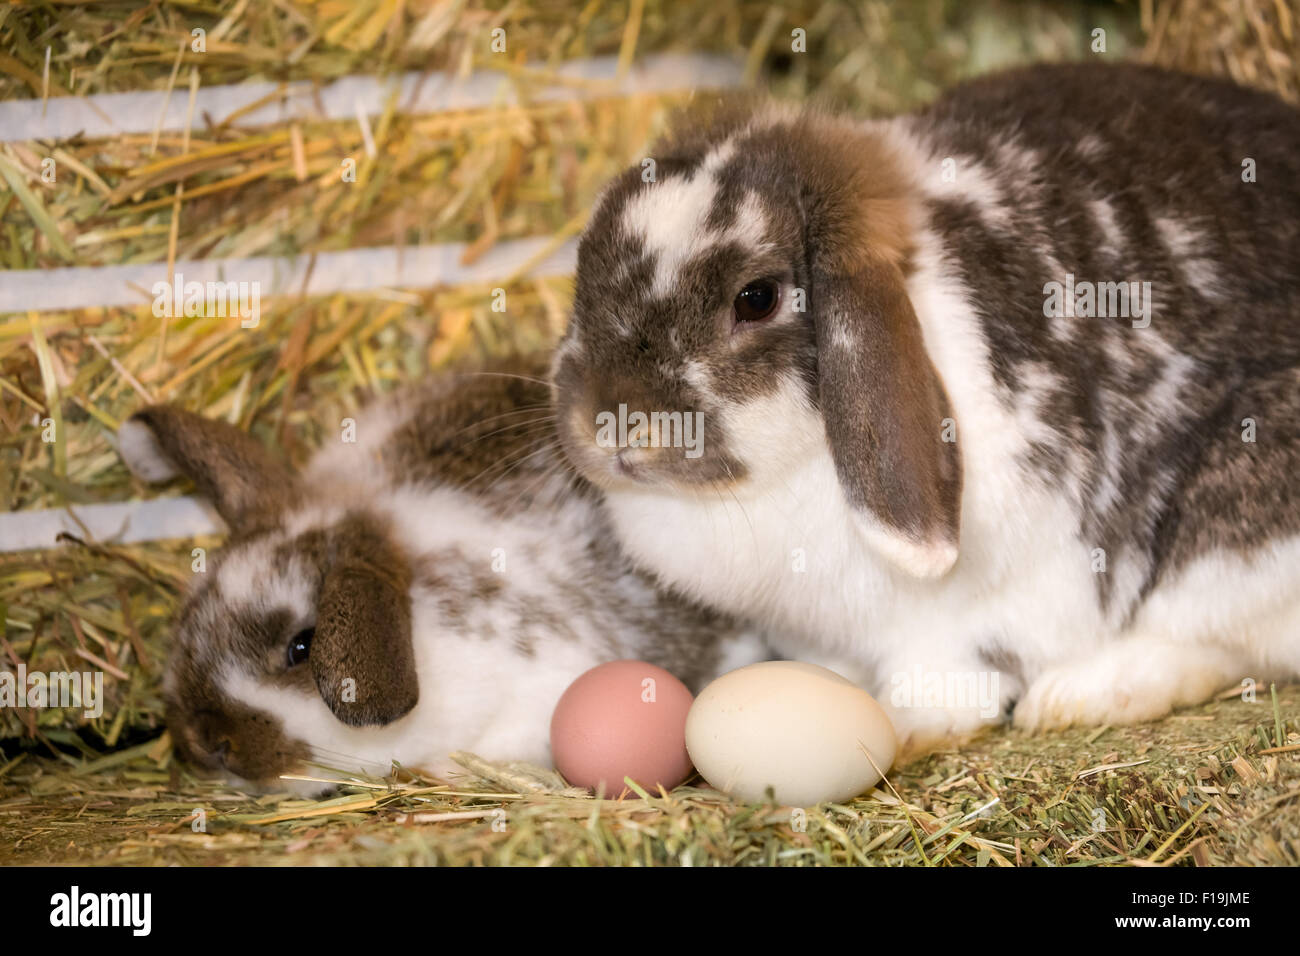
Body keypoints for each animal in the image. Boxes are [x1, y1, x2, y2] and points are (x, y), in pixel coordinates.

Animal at [548, 63, 1300, 759]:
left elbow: (947, 678)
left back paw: (1076, 696)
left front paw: (904, 727)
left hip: (1236, 532)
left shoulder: (965, 616)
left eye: (755, 298)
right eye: (582, 272)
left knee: (1210, 641)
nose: (608, 423)